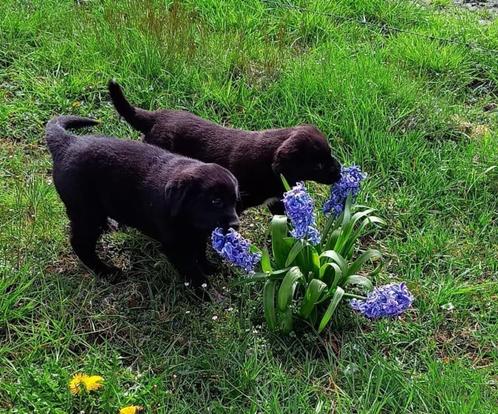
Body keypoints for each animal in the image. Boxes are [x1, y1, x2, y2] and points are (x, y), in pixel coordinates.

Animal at [45, 115, 240, 286]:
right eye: (216, 201)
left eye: (235, 201)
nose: (236, 225)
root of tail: (67, 143)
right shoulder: (175, 246)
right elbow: (192, 270)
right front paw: (204, 291)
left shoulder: (197, 233)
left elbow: (200, 252)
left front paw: (210, 268)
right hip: (84, 211)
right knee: (80, 243)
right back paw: (105, 272)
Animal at [109, 80, 342, 213]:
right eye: (318, 165)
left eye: (330, 154)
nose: (339, 171)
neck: (269, 166)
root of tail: (156, 116)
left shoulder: (277, 201)